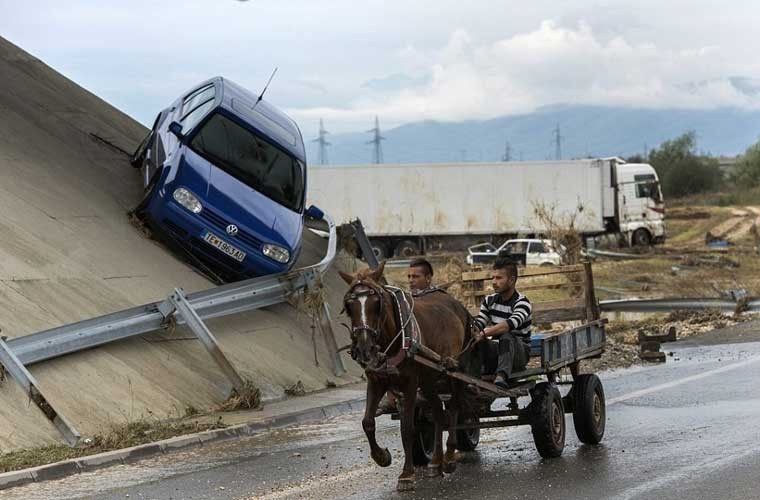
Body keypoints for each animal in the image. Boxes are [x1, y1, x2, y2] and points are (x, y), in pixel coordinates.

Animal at [340, 262, 476, 492]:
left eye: (377, 303)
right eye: (349, 305)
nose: (364, 348)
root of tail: (460, 306)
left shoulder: (410, 383)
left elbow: (407, 427)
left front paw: (407, 474)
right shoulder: (376, 380)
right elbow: (367, 422)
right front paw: (382, 457)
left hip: (457, 370)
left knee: (454, 407)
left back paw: (449, 457)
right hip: (428, 379)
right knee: (439, 413)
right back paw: (435, 462)